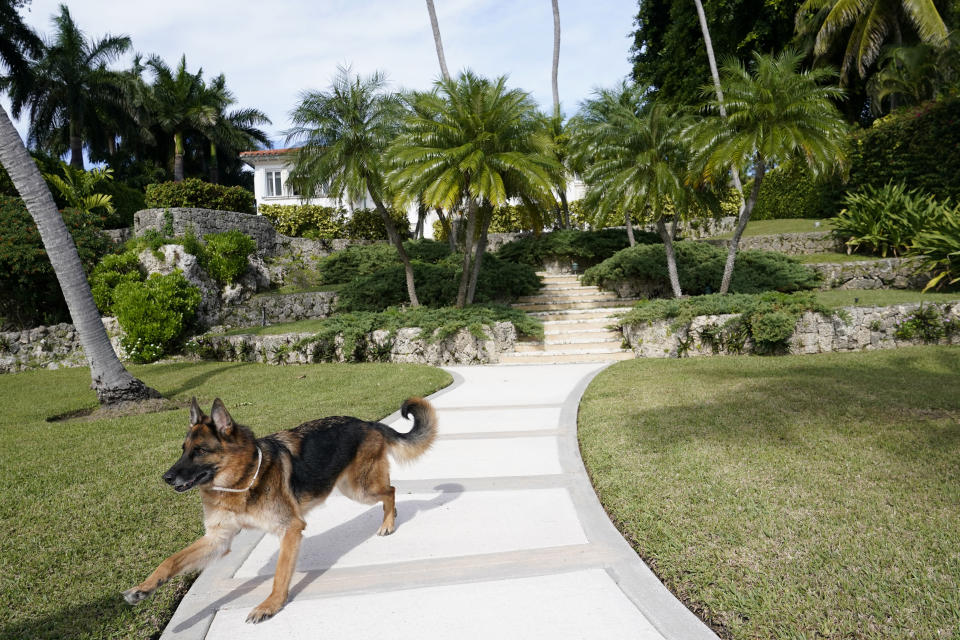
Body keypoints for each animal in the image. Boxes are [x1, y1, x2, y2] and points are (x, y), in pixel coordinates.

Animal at [122, 396, 436, 624]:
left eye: (199, 451)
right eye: (183, 449)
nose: (166, 477)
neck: (241, 481)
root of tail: (368, 423)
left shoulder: (290, 529)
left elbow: (280, 573)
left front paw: (270, 605)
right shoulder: (217, 540)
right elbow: (171, 561)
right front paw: (143, 588)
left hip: (360, 489)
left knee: (391, 490)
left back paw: (388, 523)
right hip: (353, 488)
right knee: (390, 489)